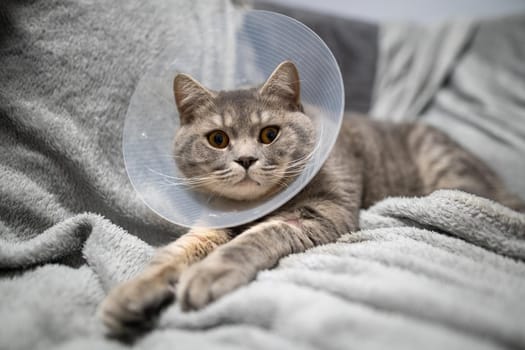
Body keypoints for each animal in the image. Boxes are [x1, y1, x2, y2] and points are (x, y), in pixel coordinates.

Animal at [99, 59, 524, 336]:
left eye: (269, 134)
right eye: (217, 139)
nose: (246, 160)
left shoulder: (323, 213)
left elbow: (256, 237)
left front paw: (209, 274)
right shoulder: (212, 223)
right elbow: (176, 253)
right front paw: (134, 293)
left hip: (449, 171)